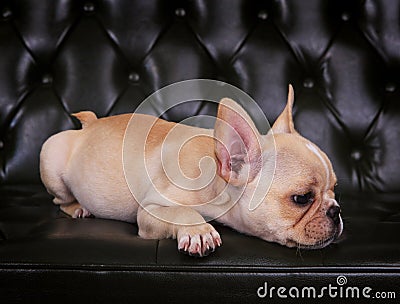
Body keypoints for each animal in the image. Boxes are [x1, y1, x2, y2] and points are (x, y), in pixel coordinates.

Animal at [39, 85, 344, 256]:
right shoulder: (149, 211)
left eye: (335, 190)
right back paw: (78, 207)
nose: (336, 210)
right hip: (50, 155)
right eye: (301, 198)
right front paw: (199, 230)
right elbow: (181, 211)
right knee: (59, 199)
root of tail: (90, 125)